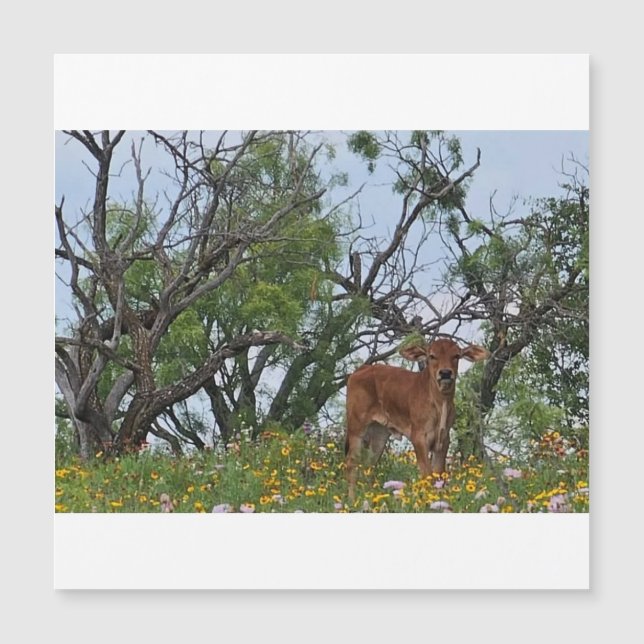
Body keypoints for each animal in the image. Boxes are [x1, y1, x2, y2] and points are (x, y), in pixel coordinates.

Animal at [344, 337, 490, 502]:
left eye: (456, 356)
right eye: (432, 356)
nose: (445, 373)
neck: (440, 403)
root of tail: (360, 370)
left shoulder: (443, 439)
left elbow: (438, 474)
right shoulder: (419, 437)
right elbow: (427, 474)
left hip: (379, 433)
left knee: (369, 465)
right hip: (356, 427)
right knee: (352, 462)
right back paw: (352, 500)